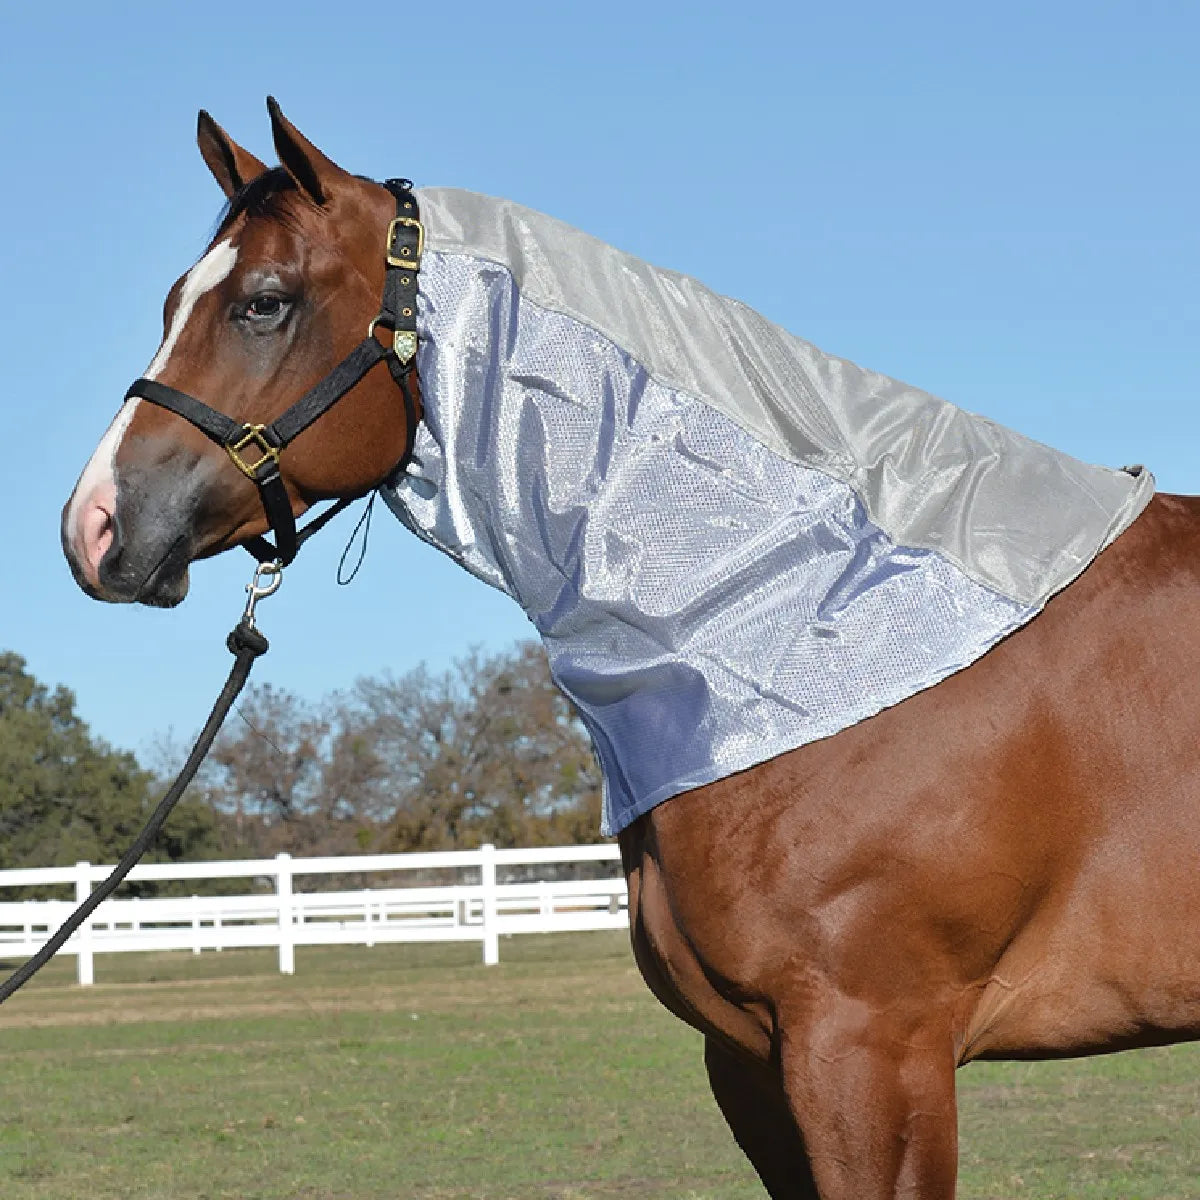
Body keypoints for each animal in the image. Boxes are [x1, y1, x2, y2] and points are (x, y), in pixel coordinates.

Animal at [61, 100, 1200, 1199]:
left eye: (263, 302)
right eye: (175, 299)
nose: (96, 525)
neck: (798, 614)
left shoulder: (874, 1052)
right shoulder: (751, 1062)